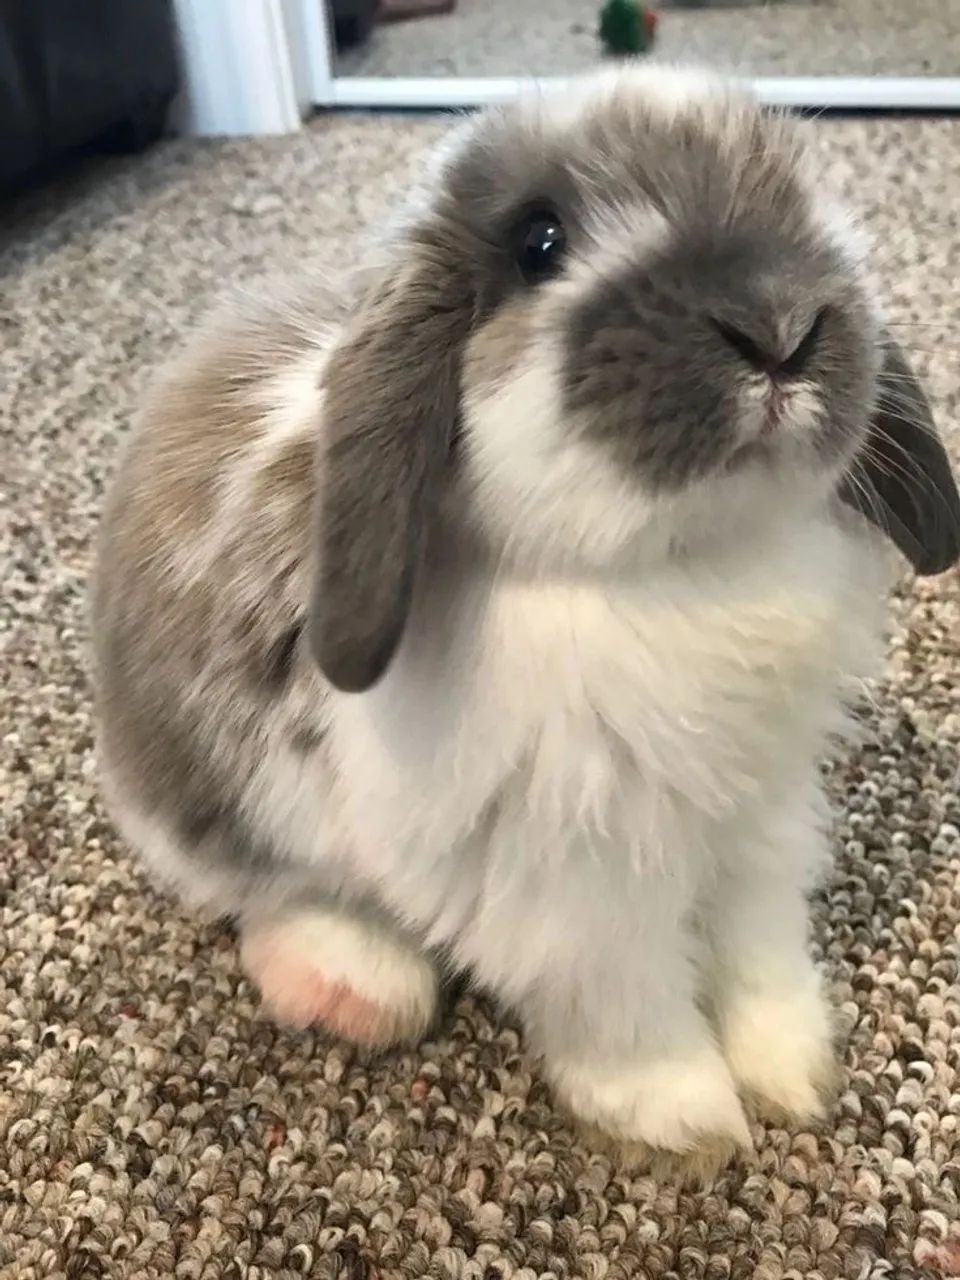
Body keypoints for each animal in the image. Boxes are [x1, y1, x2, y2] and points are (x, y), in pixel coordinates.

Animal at [91, 66, 960, 1180]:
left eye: (800, 196)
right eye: (540, 241)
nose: (778, 325)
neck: (674, 569)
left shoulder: (758, 816)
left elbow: (758, 947)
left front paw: (793, 1071)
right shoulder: (571, 878)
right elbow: (628, 997)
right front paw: (684, 1118)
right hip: (222, 806)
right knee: (259, 888)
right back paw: (354, 985)